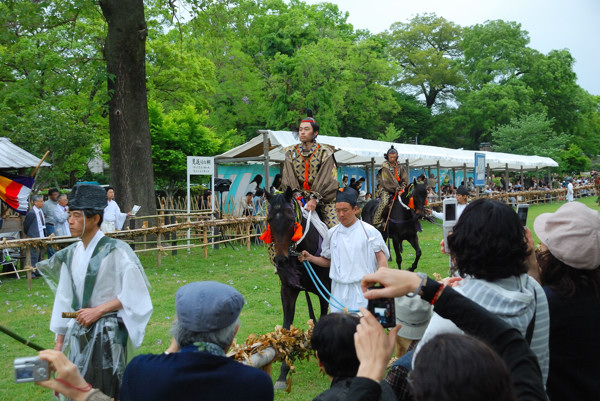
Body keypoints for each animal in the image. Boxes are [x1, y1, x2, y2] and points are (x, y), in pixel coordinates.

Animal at [264, 187, 330, 388]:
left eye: (291, 220)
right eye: (269, 220)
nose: (280, 259)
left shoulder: (324, 290)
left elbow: (323, 316)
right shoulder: (288, 290)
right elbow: (286, 328)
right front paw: (282, 374)